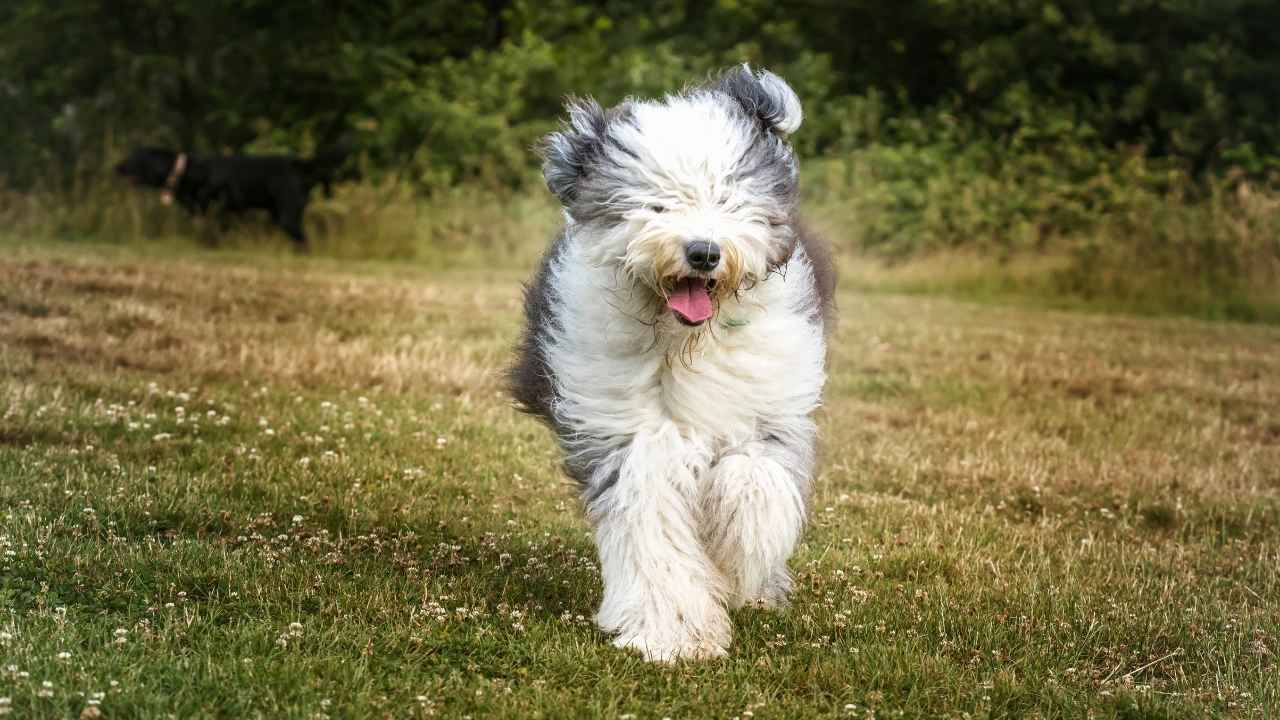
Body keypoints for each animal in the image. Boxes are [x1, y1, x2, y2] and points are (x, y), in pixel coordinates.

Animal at [115, 146, 353, 245]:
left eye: (133, 158)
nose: (115, 167)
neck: (185, 170)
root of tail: (300, 164)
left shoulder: (218, 211)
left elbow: (212, 236)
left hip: (287, 216)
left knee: (303, 240)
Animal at [509, 64, 839, 661]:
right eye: (656, 205)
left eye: (727, 199)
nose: (703, 252)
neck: (685, 342)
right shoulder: (629, 433)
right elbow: (649, 521)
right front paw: (674, 632)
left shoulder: (770, 406)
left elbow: (753, 481)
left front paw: (735, 561)